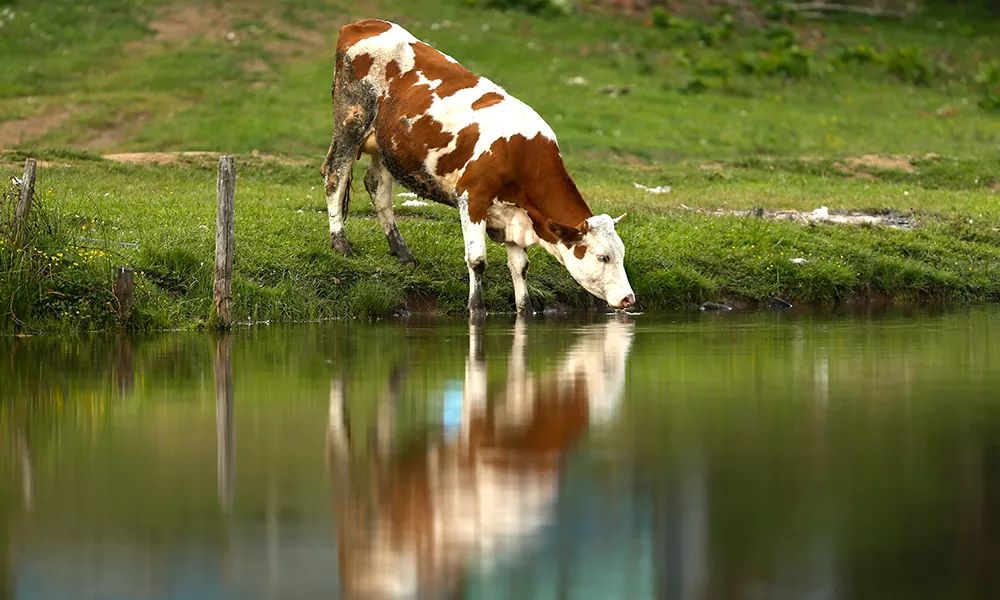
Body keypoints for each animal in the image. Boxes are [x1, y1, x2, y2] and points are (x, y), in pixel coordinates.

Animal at [320, 18, 632, 314]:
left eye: (622, 252)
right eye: (603, 256)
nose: (629, 298)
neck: (521, 155)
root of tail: (362, 24)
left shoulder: (513, 216)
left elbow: (520, 268)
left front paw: (524, 309)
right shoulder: (473, 198)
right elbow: (477, 260)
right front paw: (476, 308)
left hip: (388, 145)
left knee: (377, 186)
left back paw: (402, 252)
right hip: (351, 121)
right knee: (335, 174)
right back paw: (340, 243)